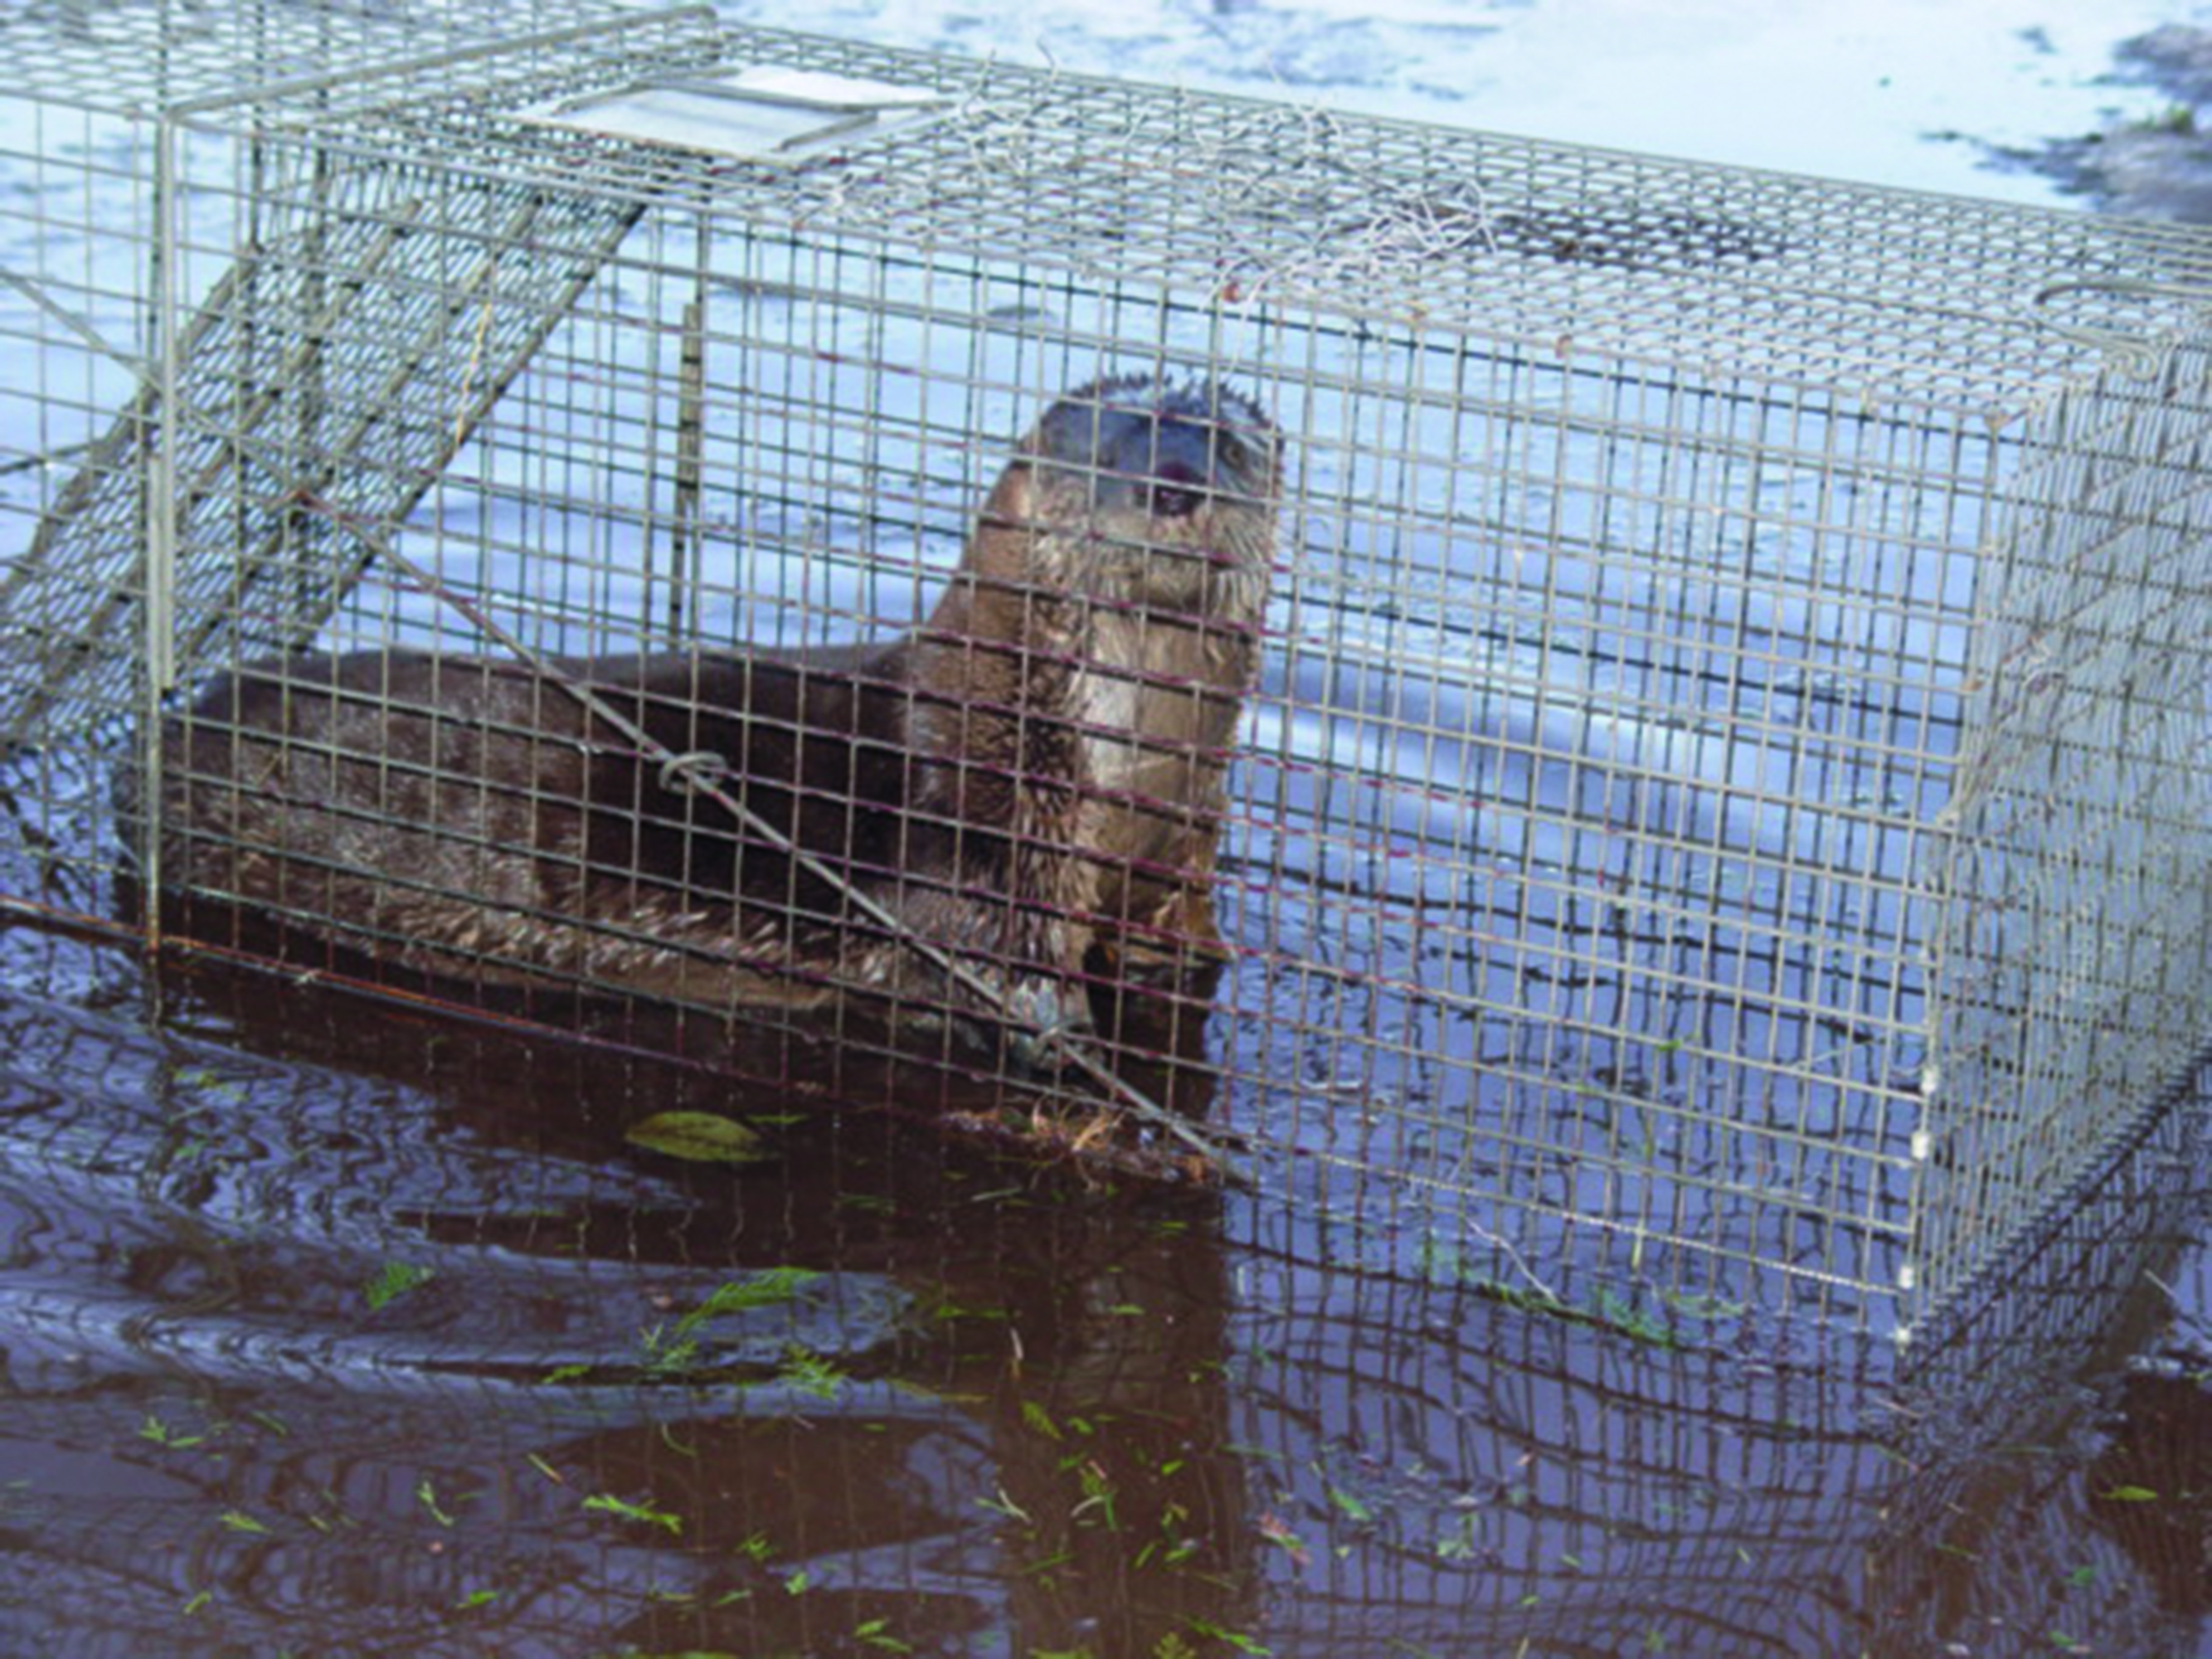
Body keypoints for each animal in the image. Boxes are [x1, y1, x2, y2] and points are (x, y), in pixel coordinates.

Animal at [157, 373, 1281, 1046]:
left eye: (1224, 445)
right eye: (1105, 452)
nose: (1173, 483)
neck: (1119, 772)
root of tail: (180, 716)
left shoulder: (1184, 848)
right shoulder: (984, 860)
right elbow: (1010, 986)